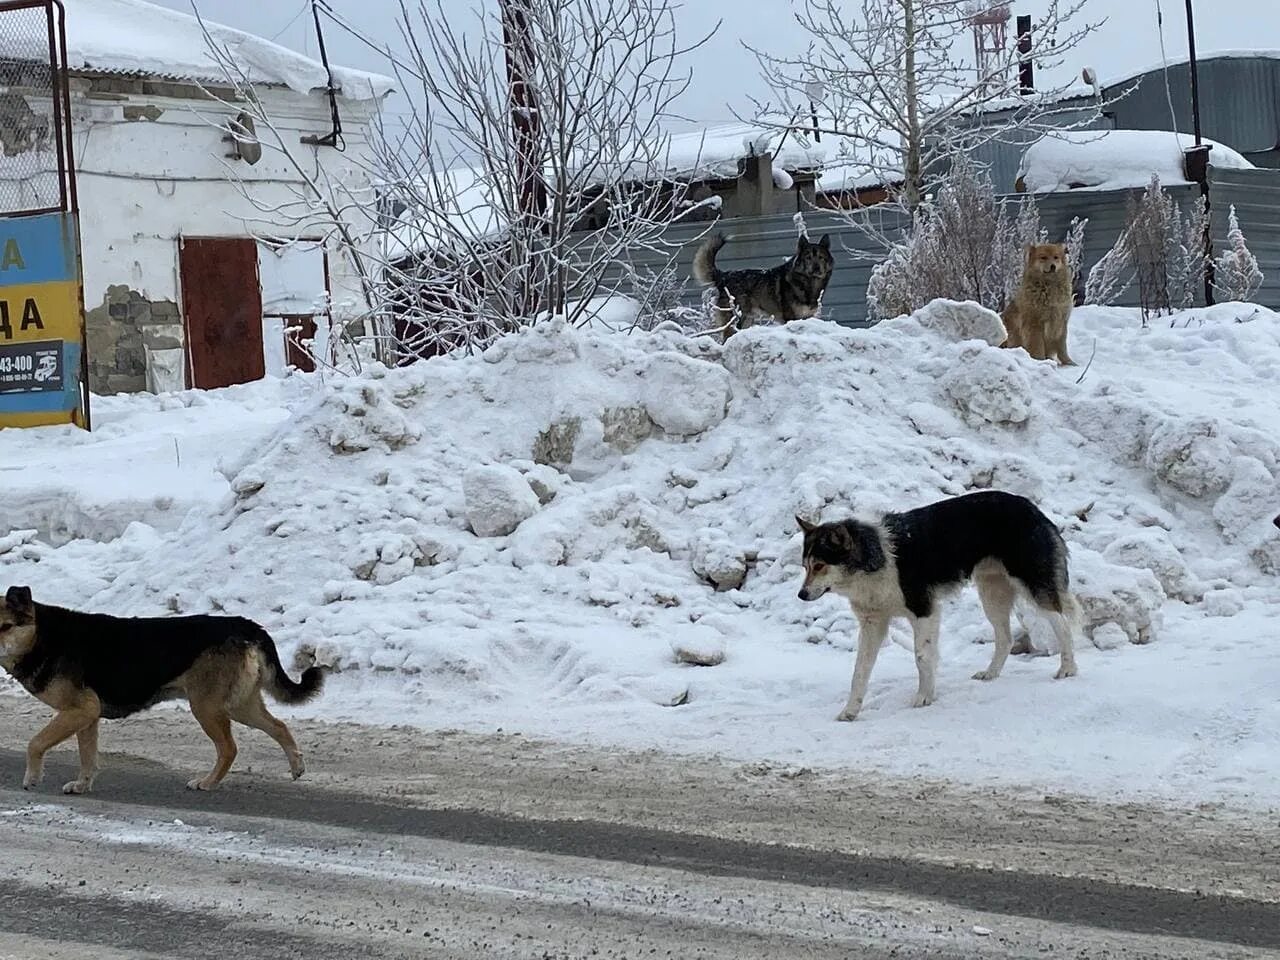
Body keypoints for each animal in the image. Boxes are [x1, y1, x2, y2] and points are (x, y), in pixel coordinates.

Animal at [798, 491, 1080, 727]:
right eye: (805, 566)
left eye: (820, 565)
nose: (801, 595)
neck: (874, 559)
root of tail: (1032, 507)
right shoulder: (872, 624)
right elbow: (860, 671)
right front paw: (851, 711)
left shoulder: (924, 611)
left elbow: (922, 657)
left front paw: (924, 696)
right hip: (992, 594)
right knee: (1005, 638)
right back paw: (991, 673)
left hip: (1034, 588)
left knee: (1063, 626)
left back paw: (1068, 669)